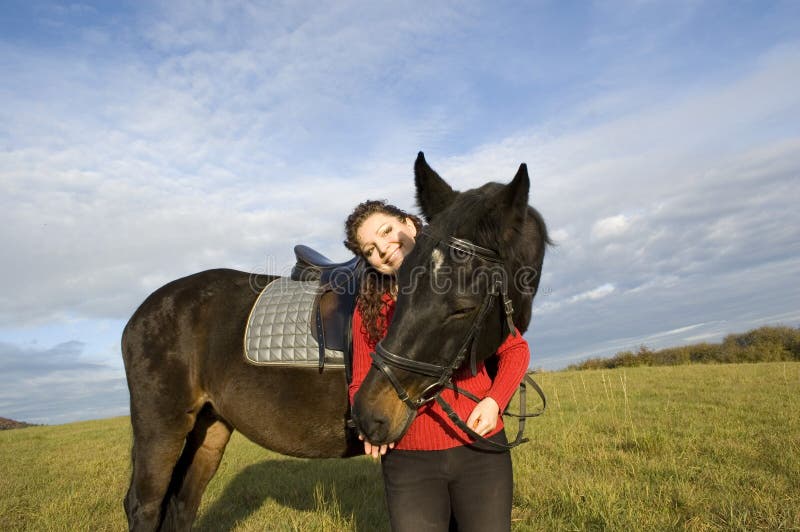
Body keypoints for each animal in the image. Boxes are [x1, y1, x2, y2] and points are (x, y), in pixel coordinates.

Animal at [121, 152, 549, 531]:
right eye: (402, 285)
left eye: (463, 307)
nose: (369, 416)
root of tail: (141, 313)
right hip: (162, 428)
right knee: (145, 506)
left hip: (210, 428)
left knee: (182, 505)